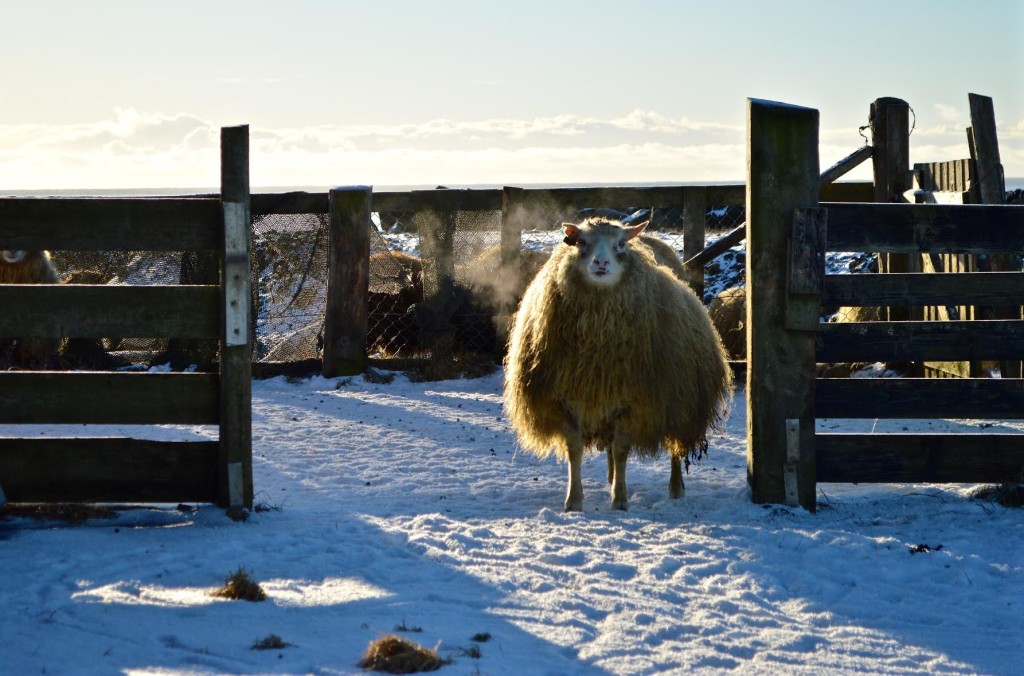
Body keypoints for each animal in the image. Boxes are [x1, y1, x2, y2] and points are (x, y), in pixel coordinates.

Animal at [501, 219, 729, 510]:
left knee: (675, 449)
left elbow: (621, 450)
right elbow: (575, 449)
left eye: (621, 244)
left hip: (677, 402)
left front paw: (619, 500)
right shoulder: (564, 400)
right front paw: (574, 500)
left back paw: (676, 488)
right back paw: (611, 478)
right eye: (581, 242)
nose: (601, 262)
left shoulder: (636, 402)